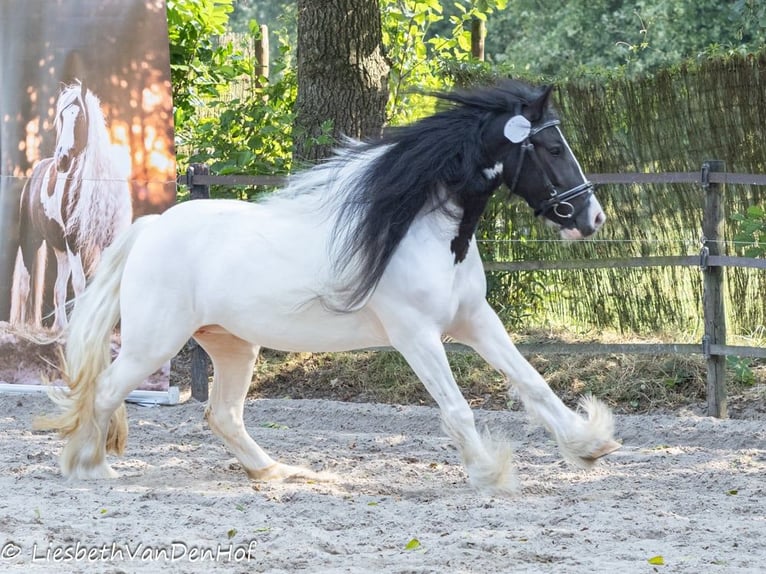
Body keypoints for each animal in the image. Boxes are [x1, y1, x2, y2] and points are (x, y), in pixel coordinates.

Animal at [10, 81, 132, 332]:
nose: (62, 159)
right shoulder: (75, 239)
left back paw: (60, 327)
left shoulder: (108, 239)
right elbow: (79, 284)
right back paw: (23, 327)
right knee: (26, 283)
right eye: (62, 118)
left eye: (80, 117)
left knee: (57, 288)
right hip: (31, 239)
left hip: (59, 247)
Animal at [39, 80, 620, 496]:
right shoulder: (417, 336)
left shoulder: (474, 320)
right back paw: (89, 469)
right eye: (551, 147)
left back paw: (276, 473)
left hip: (232, 345)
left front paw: (588, 445)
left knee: (221, 414)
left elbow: (533, 382)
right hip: (153, 343)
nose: (591, 218)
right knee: (106, 392)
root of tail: (153, 227)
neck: (420, 231)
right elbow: (457, 408)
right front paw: (489, 473)